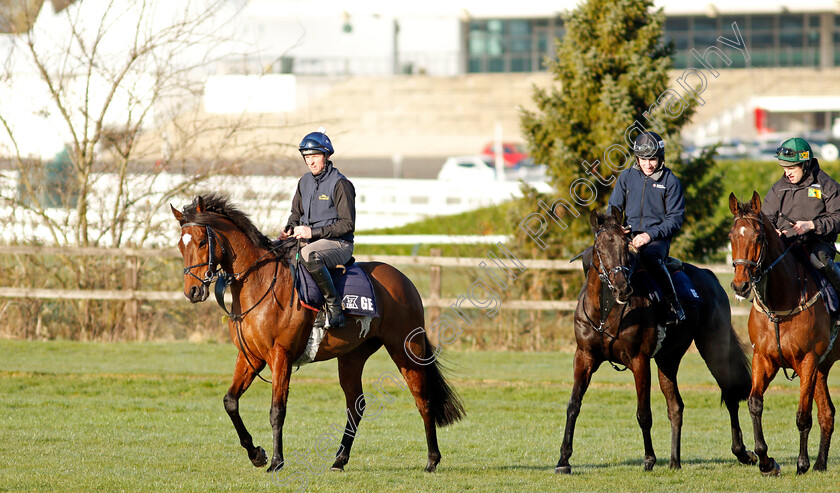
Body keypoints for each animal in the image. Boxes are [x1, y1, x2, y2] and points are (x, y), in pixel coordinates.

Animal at [167, 193, 462, 472]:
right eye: (181, 245)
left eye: (202, 243)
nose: (192, 291)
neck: (260, 283)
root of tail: (403, 279)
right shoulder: (250, 356)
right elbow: (230, 402)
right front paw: (257, 454)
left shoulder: (280, 356)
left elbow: (277, 410)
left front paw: (276, 461)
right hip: (352, 358)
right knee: (356, 405)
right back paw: (339, 460)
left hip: (405, 350)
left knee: (423, 399)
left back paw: (432, 460)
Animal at [556, 207, 756, 472]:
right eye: (599, 247)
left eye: (625, 245)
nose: (622, 288)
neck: (606, 312)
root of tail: (709, 277)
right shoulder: (584, 358)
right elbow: (573, 406)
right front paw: (563, 460)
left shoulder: (639, 362)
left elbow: (644, 413)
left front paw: (649, 458)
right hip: (668, 360)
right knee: (676, 406)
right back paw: (675, 461)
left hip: (714, 350)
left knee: (730, 393)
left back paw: (742, 452)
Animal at [724, 190, 836, 474]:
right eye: (731, 236)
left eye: (758, 236)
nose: (740, 285)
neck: (782, 301)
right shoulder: (764, 359)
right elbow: (754, 403)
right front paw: (765, 460)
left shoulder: (807, 361)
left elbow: (803, 415)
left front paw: (802, 462)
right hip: (823, 368)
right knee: (827, 413)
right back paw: (821, 463)